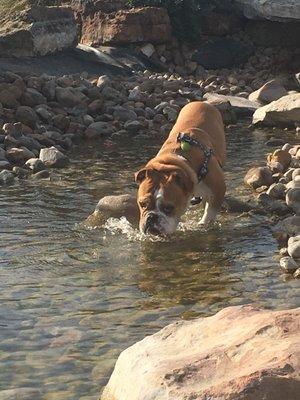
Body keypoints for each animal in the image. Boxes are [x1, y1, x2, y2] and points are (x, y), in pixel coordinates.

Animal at [135, 101, 226, 236]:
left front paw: (203, 224)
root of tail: (203, 102)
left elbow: (210, 212)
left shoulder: (218, 189)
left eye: (168, 208)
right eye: (142, 204)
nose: (151, 217)